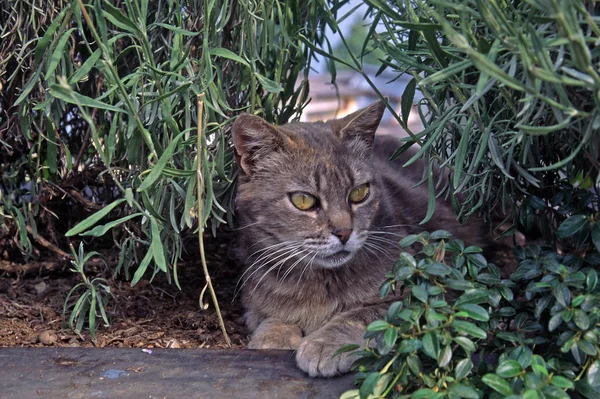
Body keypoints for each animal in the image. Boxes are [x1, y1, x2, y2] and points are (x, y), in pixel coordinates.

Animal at [230, 100, 488, 378]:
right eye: (303, 200)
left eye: (359, 193)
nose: (344, 232)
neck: (318, 283)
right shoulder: (255, 302)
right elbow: (273, 316)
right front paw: (272, 336)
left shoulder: (426, 296)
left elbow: (362, 315)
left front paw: (325, 342)